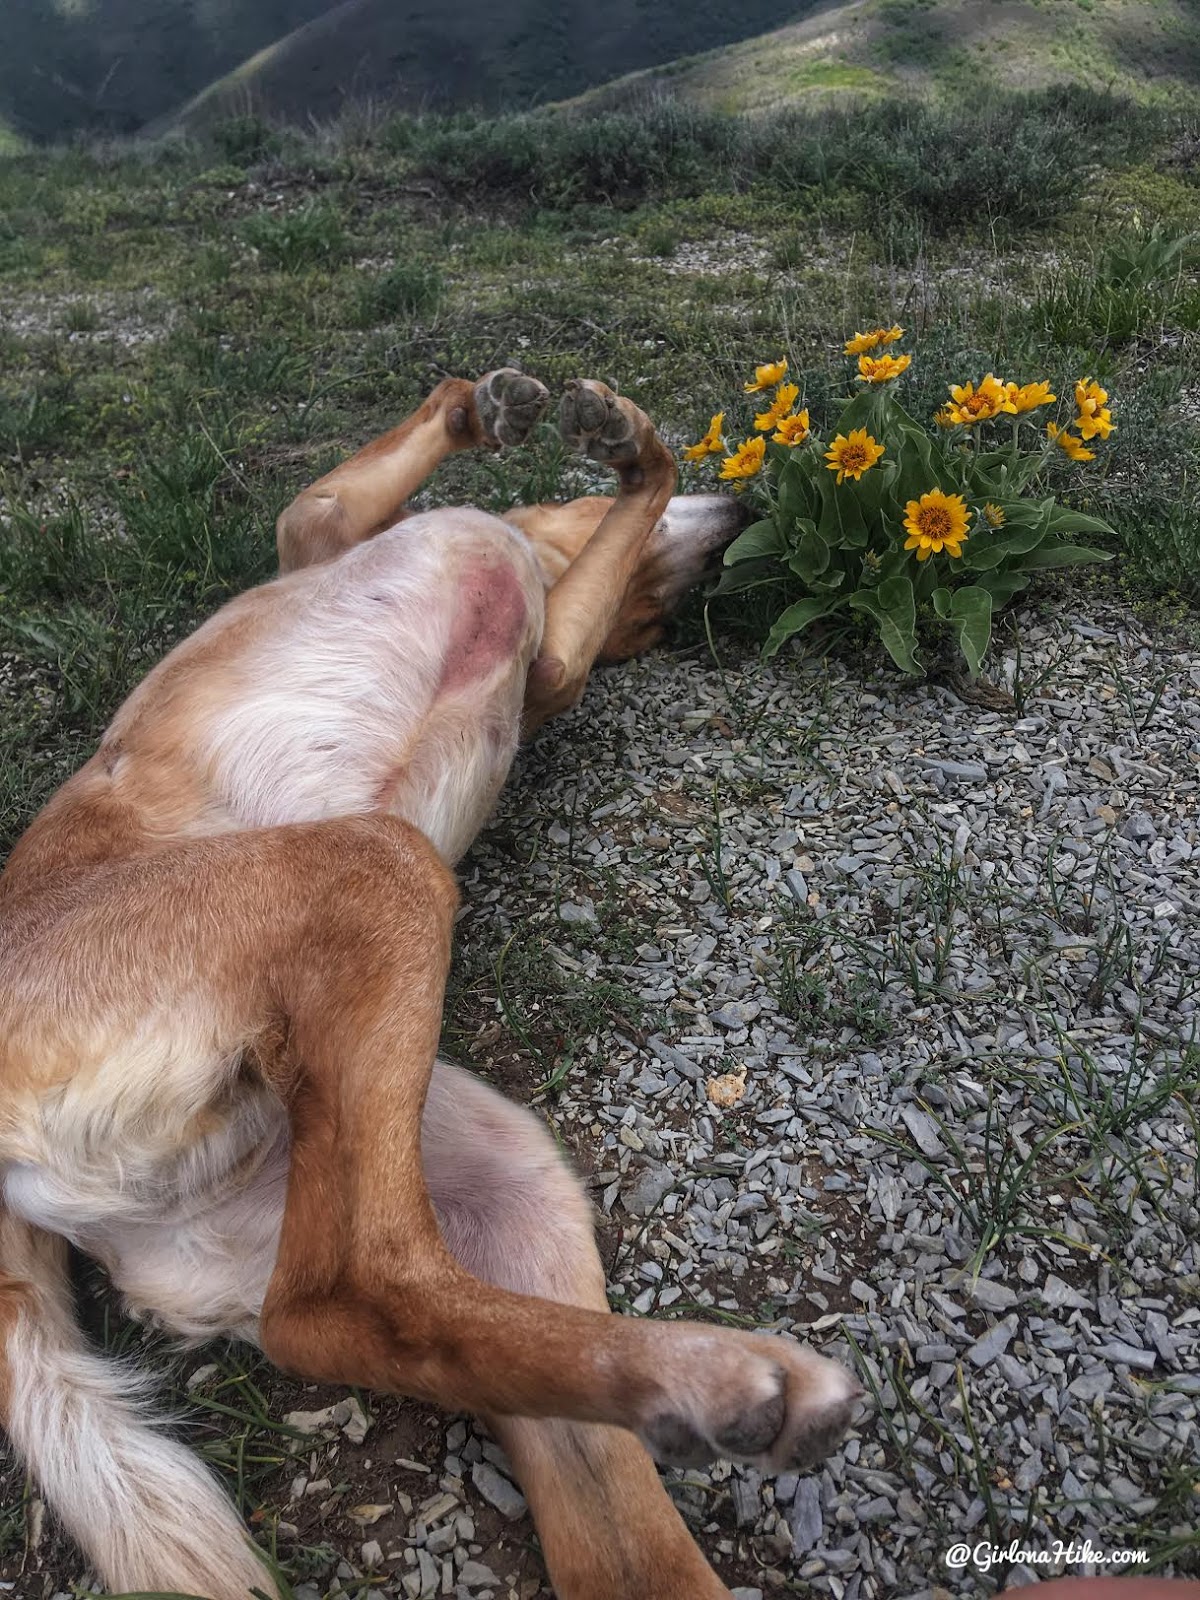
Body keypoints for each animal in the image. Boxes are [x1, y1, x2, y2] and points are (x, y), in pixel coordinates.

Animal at [0, 371, 864, 1600]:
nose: (745, 511)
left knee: (354, 1308)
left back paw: (710, 1384)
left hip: (475, 1148)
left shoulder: (531, 657)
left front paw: (606, 441)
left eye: (656, 627)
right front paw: (529, 418)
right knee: (347, 1306)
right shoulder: (326, 536)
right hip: (397, 926)